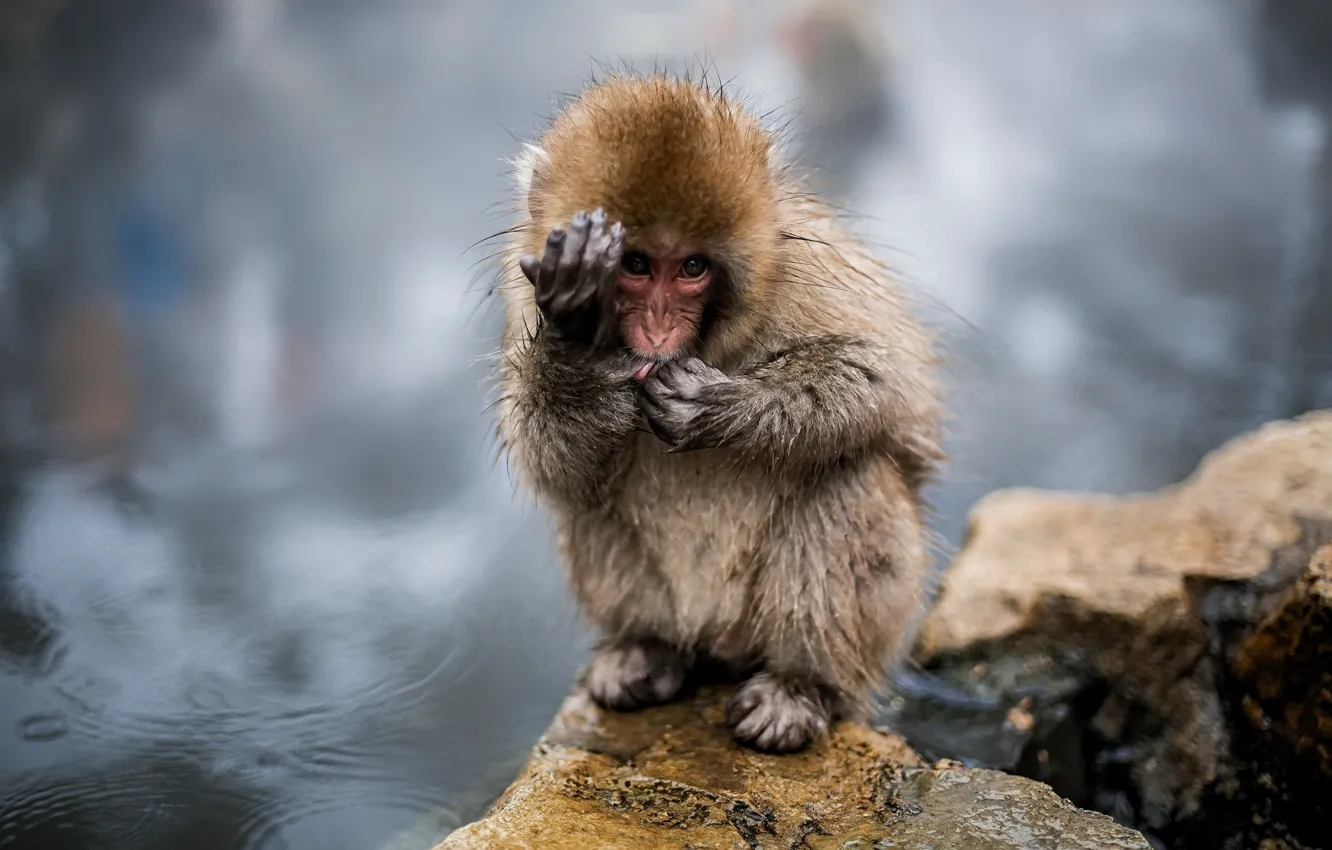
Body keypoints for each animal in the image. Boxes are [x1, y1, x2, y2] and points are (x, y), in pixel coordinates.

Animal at [493, 71, 943, 753]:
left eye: (692, 268)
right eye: (635, 265)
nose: (657, 330)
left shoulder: (807, 274)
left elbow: (880, 378)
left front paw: (716, 407)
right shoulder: (526, 292)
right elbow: (552, 462)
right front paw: (574, 331)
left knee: (850, 471)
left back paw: (801, 685)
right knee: (589, 502)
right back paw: (646, 649)